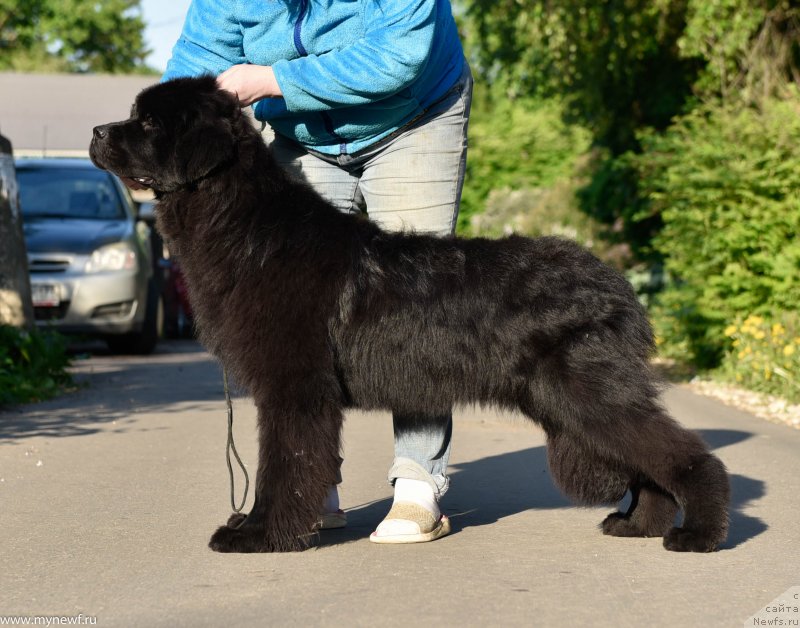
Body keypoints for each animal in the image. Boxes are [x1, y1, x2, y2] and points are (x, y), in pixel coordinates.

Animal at [89, 77, 732, 556]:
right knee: (646, 458)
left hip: (585, 392)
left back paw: (698, 533)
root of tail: (618, 283)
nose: (96, 132)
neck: (246, 227)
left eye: (148, 124)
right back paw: (641, 525)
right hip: (567, 400)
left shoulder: (295, 386)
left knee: (680, 453)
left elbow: (282, 466)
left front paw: (260, 534)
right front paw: (263, 527)